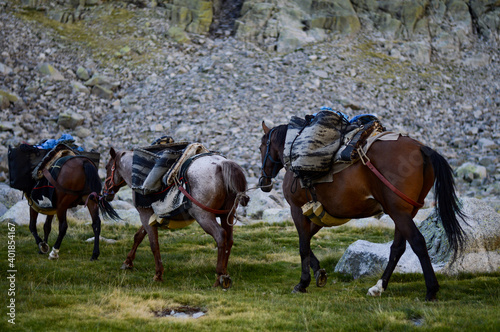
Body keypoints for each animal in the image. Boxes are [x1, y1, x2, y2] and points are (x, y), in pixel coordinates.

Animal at [104, 147, 249, 288]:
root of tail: (220, 163)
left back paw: (219, 276)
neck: (138, 176)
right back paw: (225, 272)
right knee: (229, 239)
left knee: (220, 235)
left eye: (106, 167)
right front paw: (127, 262)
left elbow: (153, 243)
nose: (105, 193)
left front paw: (158, 274)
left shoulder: (144, 214)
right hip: (226, 215)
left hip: (203, 216)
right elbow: (138, 236)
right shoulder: (150, 216)